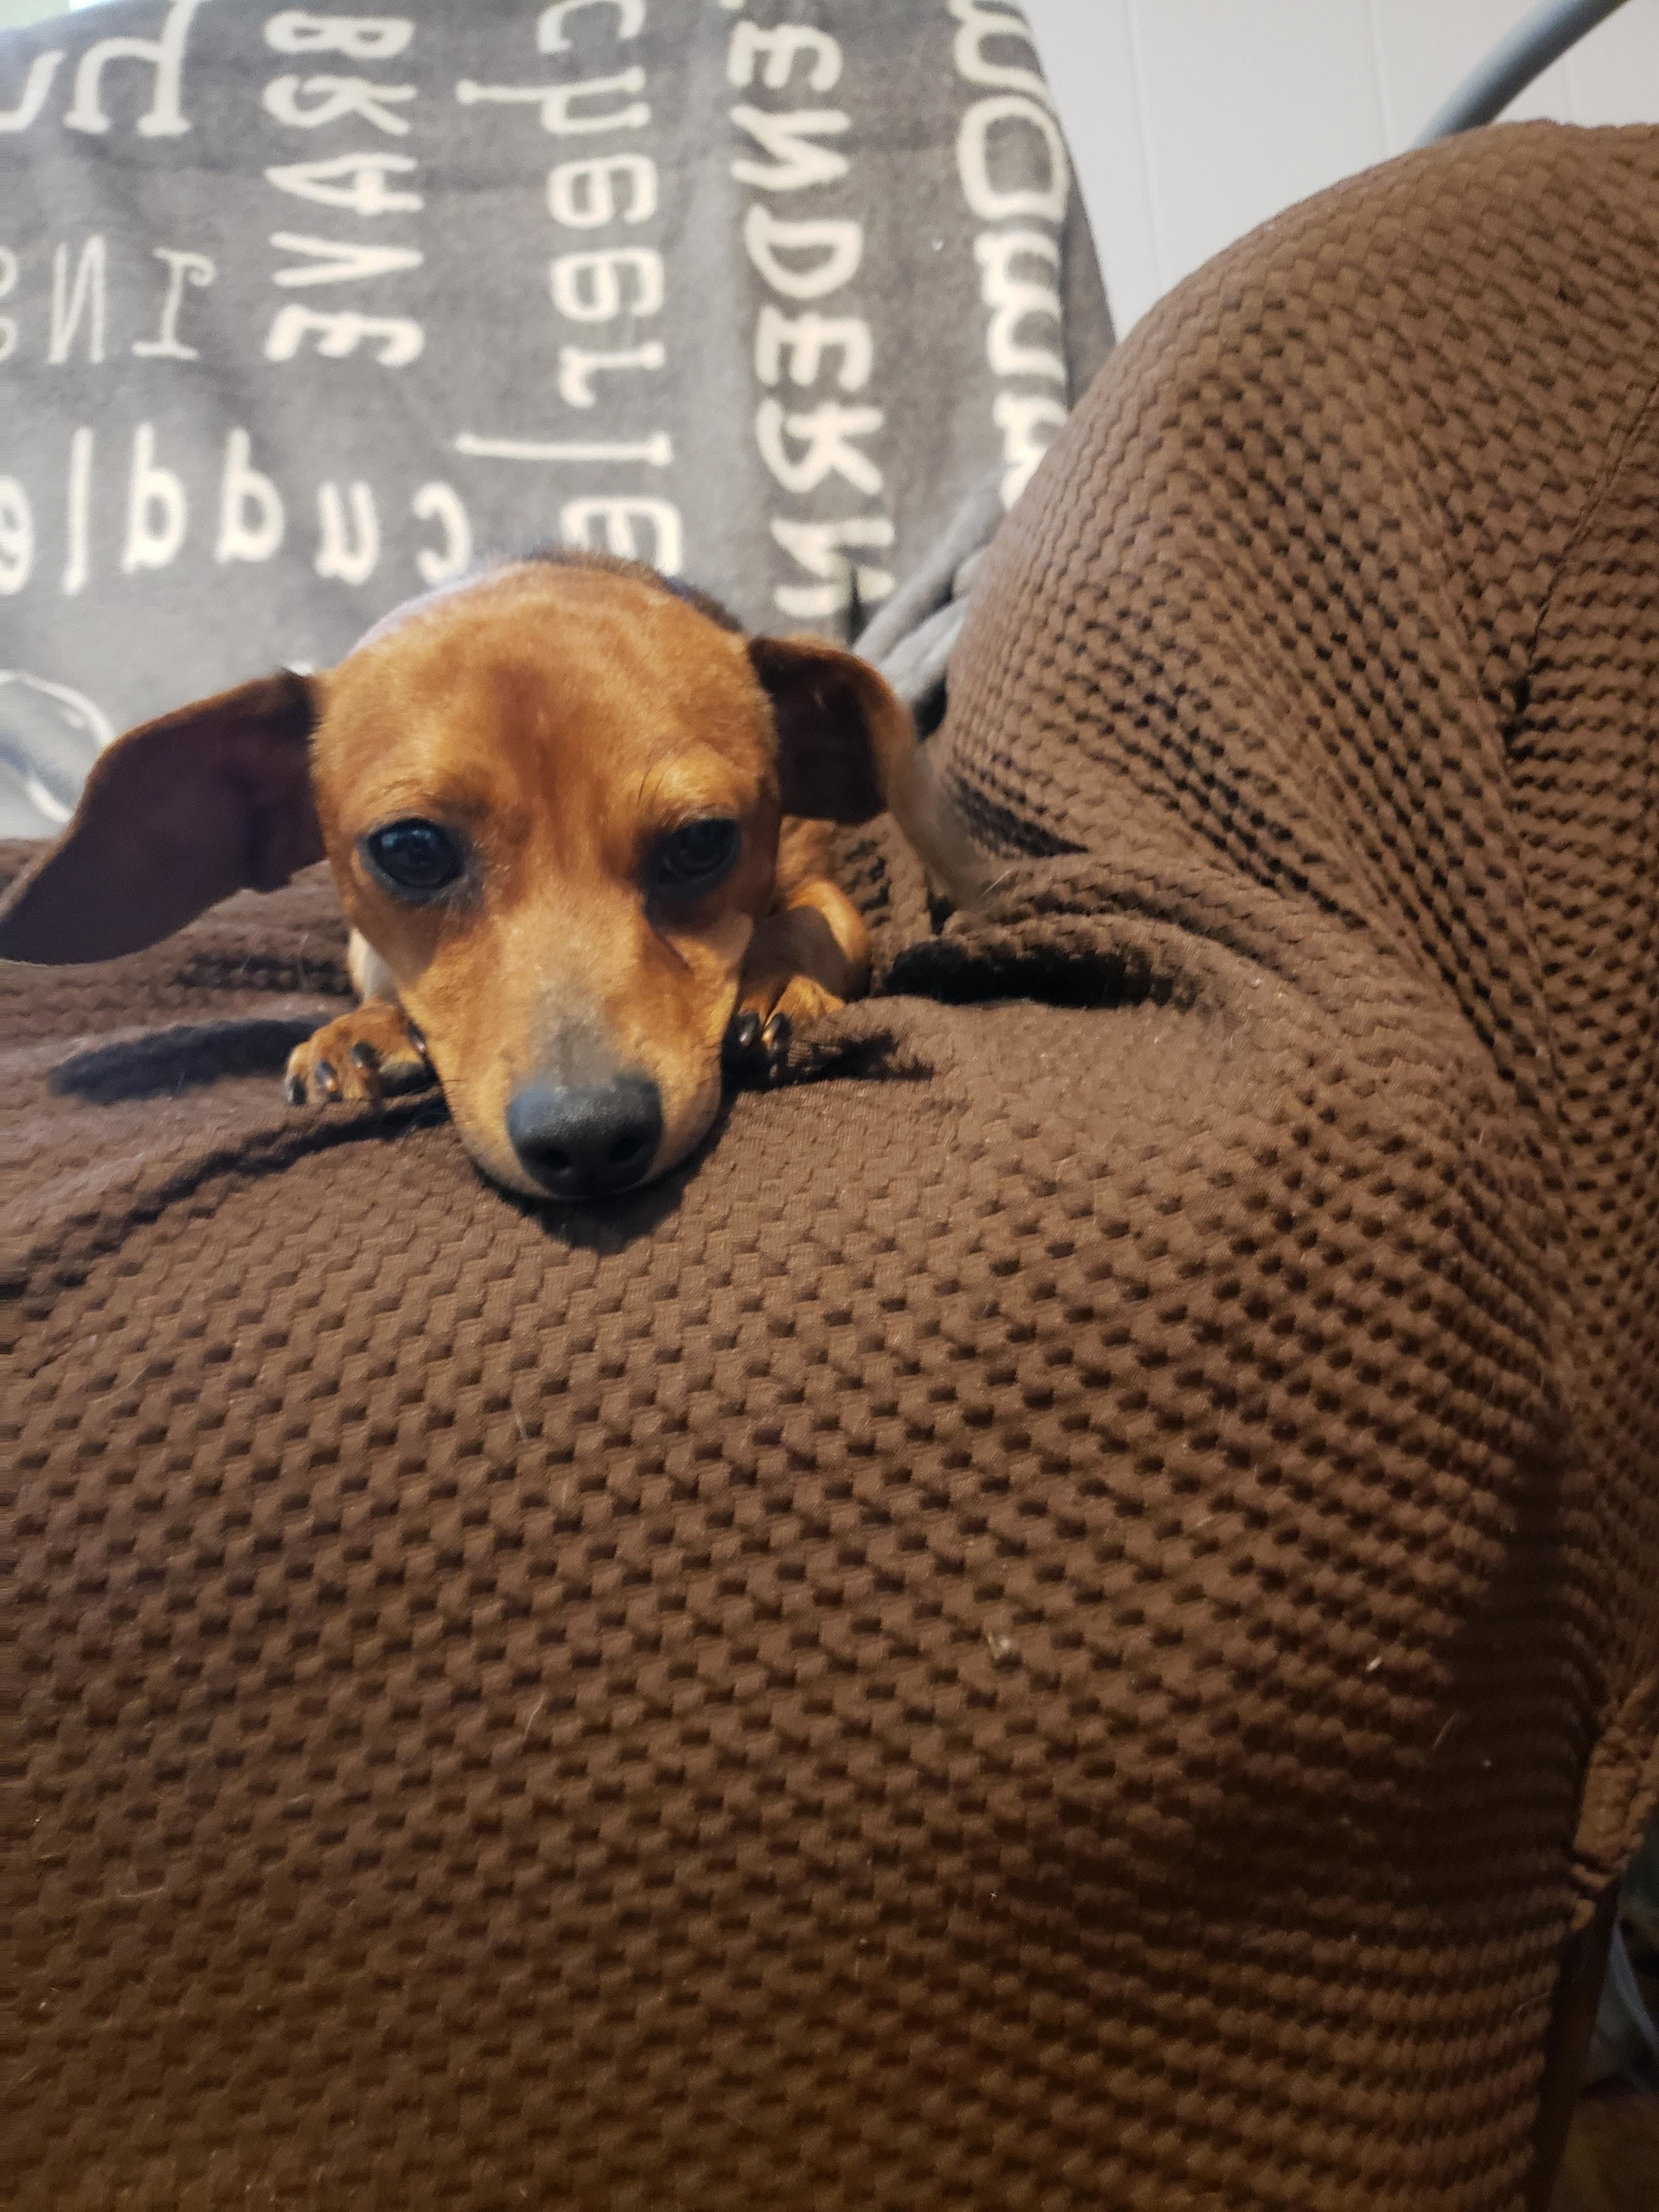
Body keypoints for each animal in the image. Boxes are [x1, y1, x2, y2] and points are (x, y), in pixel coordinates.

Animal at [0, 557, 986, 1212]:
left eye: (703, 842)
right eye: (409, 849)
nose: (590, 1141)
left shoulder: (815, 880)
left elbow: (815, 924)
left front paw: (779, 979)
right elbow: (380, 977)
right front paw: (366, 1029)